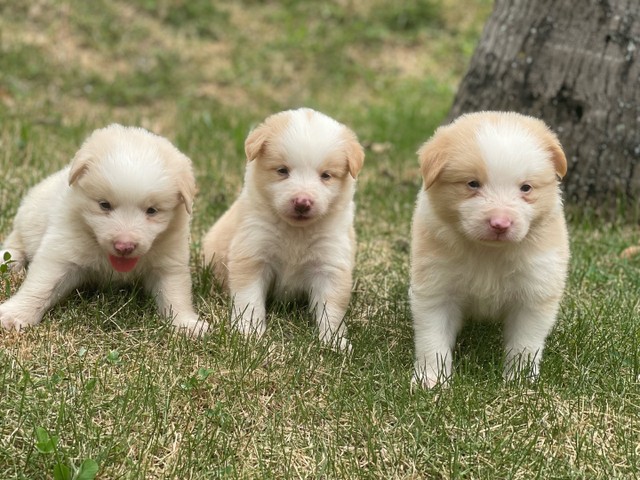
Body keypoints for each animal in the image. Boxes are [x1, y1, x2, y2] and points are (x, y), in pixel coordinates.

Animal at [0, 124, 209, 338]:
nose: (124, 246)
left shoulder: (169, 261)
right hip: (28, 218)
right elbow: (42, 285)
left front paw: (187, 324)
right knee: (16, 241)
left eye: (152, 210)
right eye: (104, 205)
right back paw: (8, 259)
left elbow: (175, 294)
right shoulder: (62, 251)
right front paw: (15, 315)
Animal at [205, 108, 364, 348]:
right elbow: (249, 299)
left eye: (326, 175)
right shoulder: (253, 252)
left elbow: (331, 309)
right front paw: (249, 332)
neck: (296, 231)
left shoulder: (330, 262)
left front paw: (334, 341)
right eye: (282, 171)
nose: (302, 202)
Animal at [410, 111, 568, 386]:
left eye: (526, 188)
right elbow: (433, 339)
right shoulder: (435, 287)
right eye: (473, 184)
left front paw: (519, 380)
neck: (488, 252)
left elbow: (525, 343)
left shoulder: (535, 291)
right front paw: (432, 379)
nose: (500, 224)